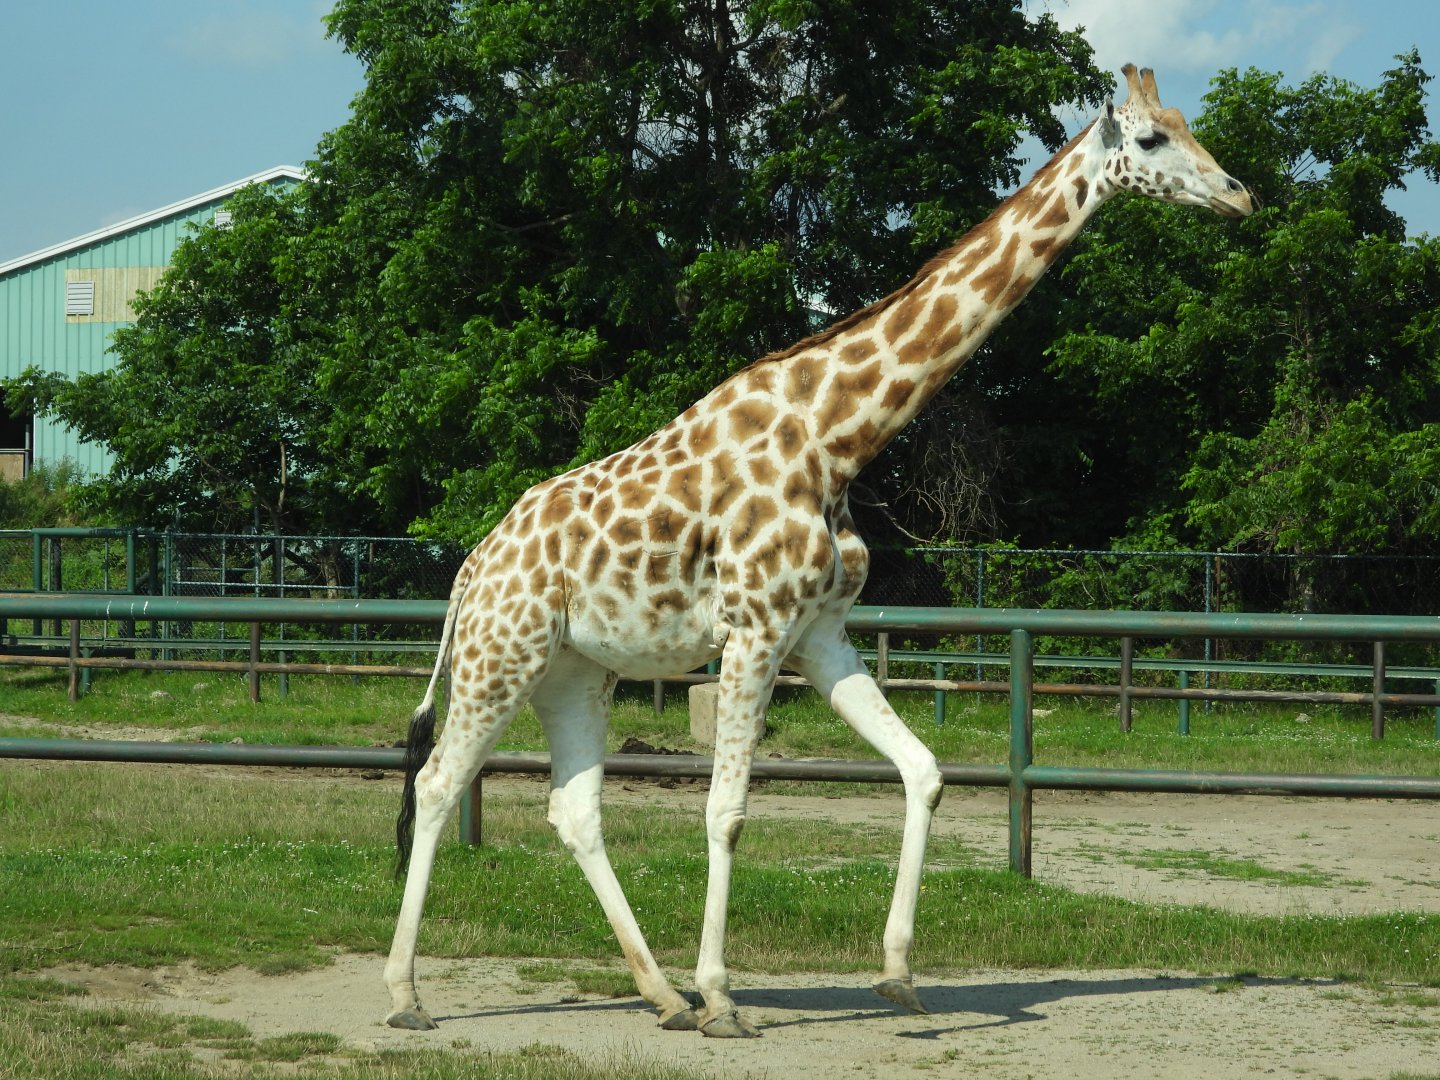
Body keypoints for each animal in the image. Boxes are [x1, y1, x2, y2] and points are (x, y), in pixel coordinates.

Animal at [382, 65, 1252, 1038]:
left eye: (1188, 124)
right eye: (1151, 140)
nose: (1240, 195)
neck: (839, 437)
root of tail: (470, 569)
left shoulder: (820, 632)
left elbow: (924, 770)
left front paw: (898, 975)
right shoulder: (756, 627)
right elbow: (726, 811)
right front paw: (726, 998)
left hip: (573, 670)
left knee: (574, 809)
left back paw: (660, 994)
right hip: (504, 652)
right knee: (440, 782)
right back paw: (408, 995)